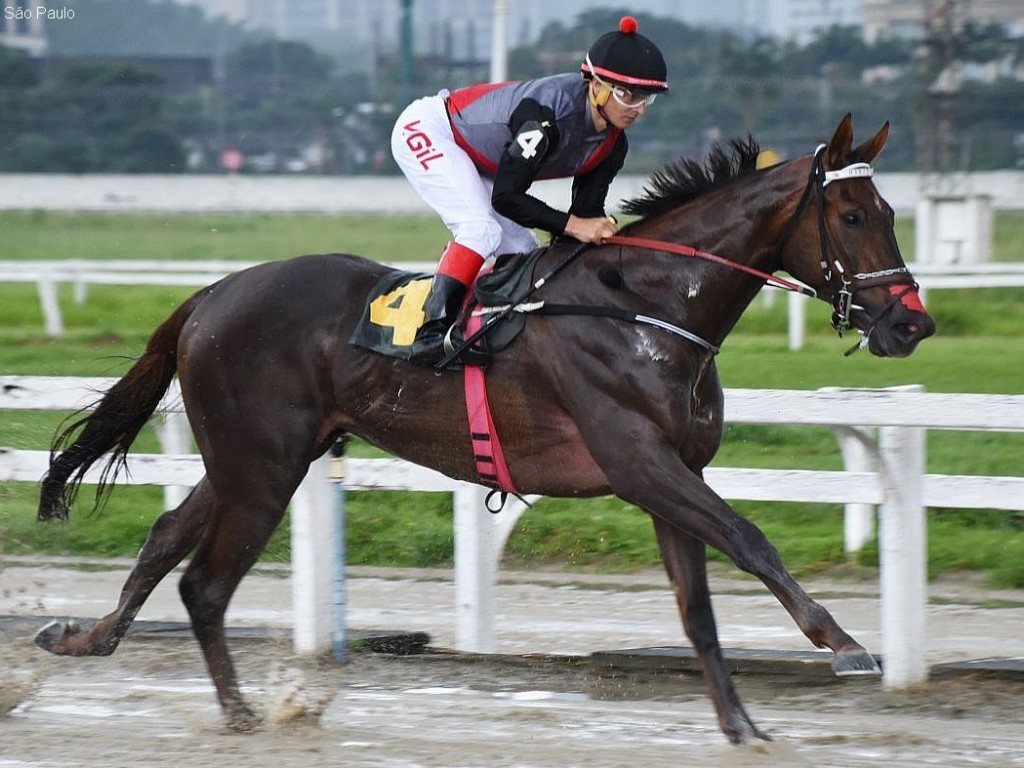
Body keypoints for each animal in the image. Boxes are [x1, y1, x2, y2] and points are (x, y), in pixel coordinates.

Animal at [34, 114, 937, 745]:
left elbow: (698, 611)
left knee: (166, 543)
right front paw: (843, 643)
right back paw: (242, 717)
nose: (912, 325)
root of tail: (212, 294)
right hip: (262, 467)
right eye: (852, 217)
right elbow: (752, 539)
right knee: (206, 584)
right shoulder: (640, 463)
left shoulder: (668, 477)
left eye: (891, 209)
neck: (647, 305)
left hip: (248, 460)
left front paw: (743, 727)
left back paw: (83, 638)